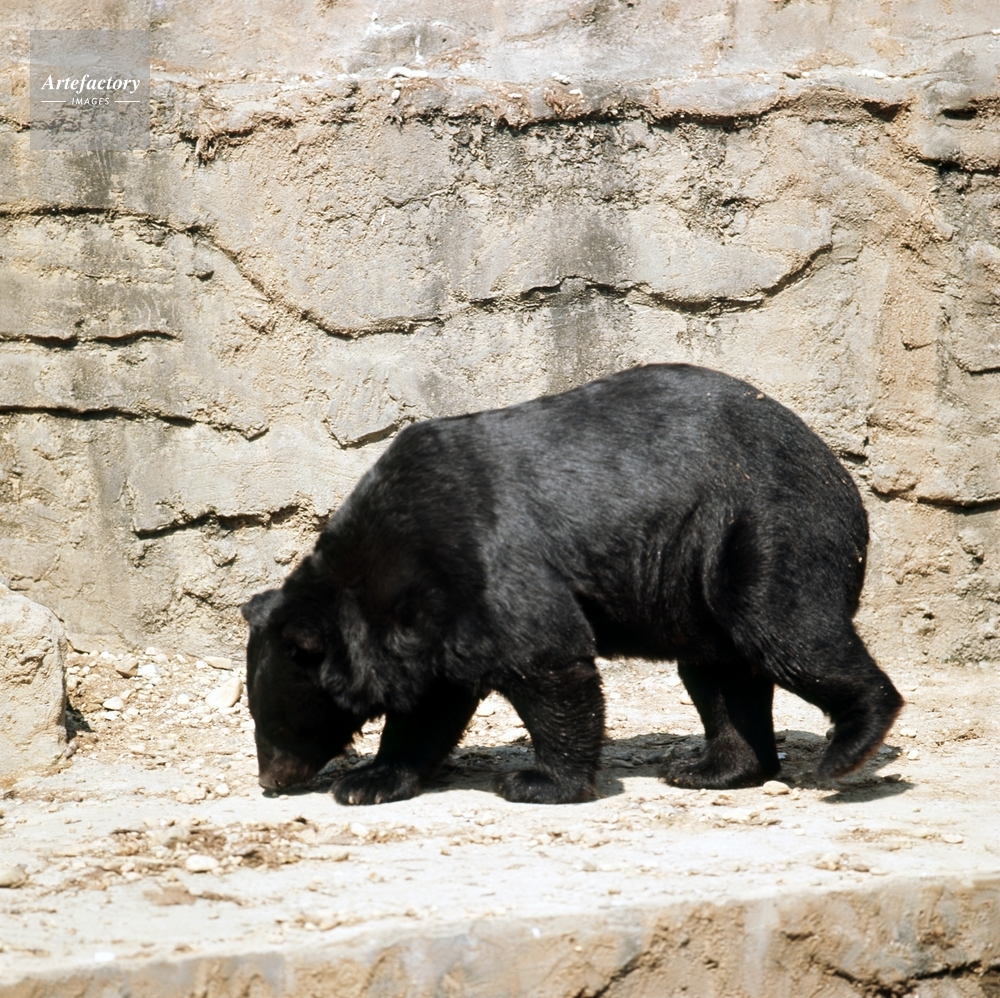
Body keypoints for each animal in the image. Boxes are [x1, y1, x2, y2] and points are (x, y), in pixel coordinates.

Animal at [241, 363, 902, 806]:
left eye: (274, 721)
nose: (270, 779)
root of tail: (840, 473)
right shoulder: (436, 619)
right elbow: (433, 702)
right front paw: (370, 780)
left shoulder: (488, 562)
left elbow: (547, 660)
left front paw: (535, 780)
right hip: (696, 575)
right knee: (721, 671)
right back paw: (711, 767)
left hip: (763, 526)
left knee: (787, 631)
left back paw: (849, 747)